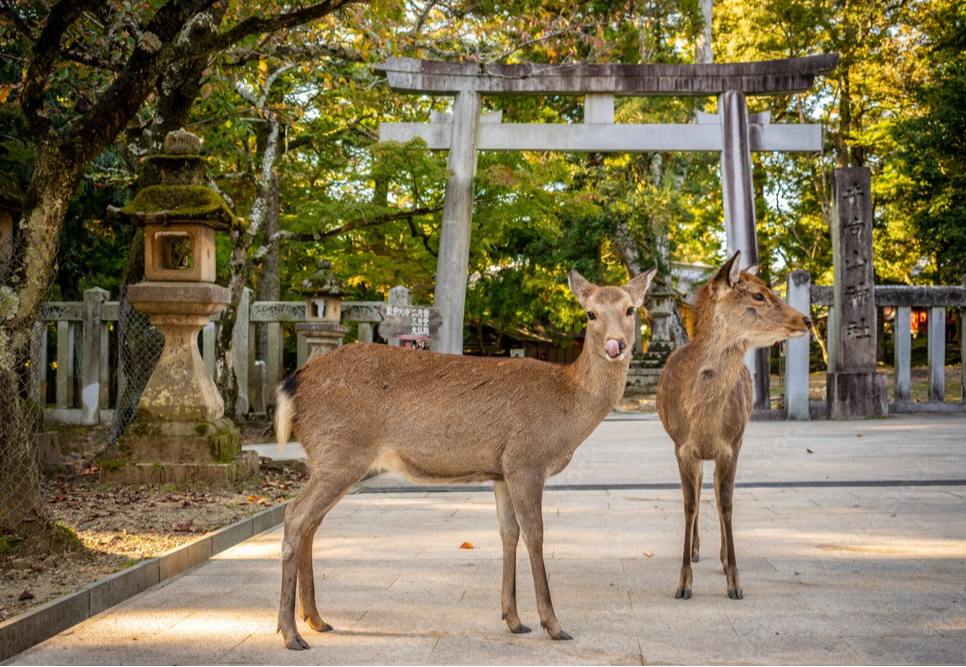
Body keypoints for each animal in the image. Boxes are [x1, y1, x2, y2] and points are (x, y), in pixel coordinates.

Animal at [276, 268, 660, 652]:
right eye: (590, 313)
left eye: (630, 309)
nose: (615, 345)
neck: (569, 405)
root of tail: (291, 385)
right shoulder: (526, 460)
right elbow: (535, 533)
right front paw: (553, 624)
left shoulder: (501, 472)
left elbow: (509, 533)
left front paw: (514, 619)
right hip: (339, 453)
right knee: (295, 515)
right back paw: (291, 632)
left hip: (332, 459)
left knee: (311, 523)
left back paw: (317, 619)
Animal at [656, 252, 808, 604]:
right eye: (758, 295)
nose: (806, 320)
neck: (705, 423)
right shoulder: (682, 447)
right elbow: (689, 505)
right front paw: (683, 583)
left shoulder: (732, 445)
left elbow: (726, 503)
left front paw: (735, 582)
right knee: (700, 490)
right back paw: (696, 549)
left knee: (715, 490)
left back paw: (723, 558)